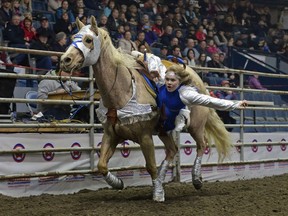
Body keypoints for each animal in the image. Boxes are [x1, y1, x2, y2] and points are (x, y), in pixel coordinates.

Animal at [60, 16, 232, 202]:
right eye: (72, 38)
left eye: (88, 40)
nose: (65, 60)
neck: (123, 90)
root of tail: (198, 80)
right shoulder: (111, 135)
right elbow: (102, 165)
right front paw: (118, 183)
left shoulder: (145, 137)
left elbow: (150, 166)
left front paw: (158, 194)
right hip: (164, 130)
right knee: (173, 150)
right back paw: (165, 178)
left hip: (195, 126)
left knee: (202, 145)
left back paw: (196, 179)